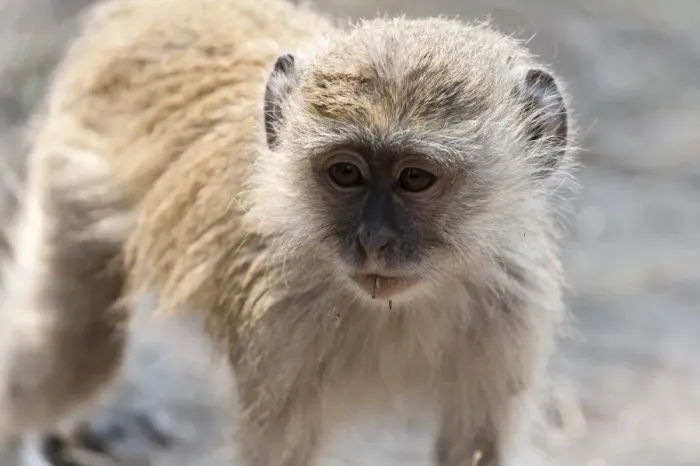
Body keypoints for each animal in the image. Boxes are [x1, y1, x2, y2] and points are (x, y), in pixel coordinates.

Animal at [0, 0, 577, 464]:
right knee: (71, 358)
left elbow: (478, 445)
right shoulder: (277, 321)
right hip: (73, 181)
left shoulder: (513, 307)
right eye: (346, 173)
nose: (374, 241)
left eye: (414, 178)